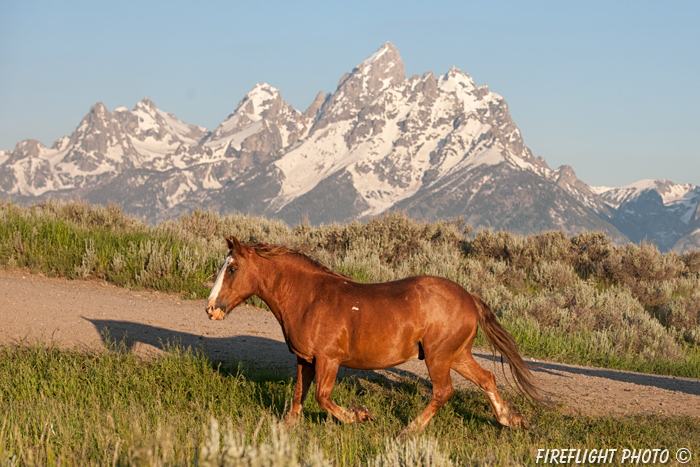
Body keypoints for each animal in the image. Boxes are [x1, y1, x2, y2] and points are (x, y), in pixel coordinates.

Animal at [204, 236, 540, 434]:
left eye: (232, 269)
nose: (210, 308)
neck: (308, 298)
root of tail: (469, 297)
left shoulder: (328, 359)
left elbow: (322, 397)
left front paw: (361, 415)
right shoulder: (305, 359)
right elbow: (299, 394)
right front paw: (287, 428)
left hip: (438, 356)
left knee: (444, 392)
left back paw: (409, 430)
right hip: (456, 355)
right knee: (487, 378)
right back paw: (511, 419)